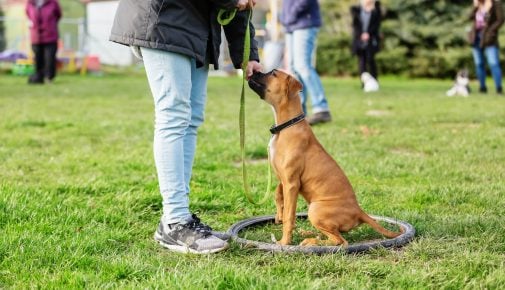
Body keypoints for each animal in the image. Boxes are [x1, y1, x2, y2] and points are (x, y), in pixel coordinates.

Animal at [248, 69, 402, 246]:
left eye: (273, 73)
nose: (254, 71)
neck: (287, 125)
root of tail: (359, 211)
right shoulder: (283, 178)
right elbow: (278, 194)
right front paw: (278, 215)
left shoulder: (292, 183)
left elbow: (289, 215)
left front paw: (284, 242)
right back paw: (310, 235)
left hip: (315, 209)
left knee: (340, 241)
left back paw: (310, 242)